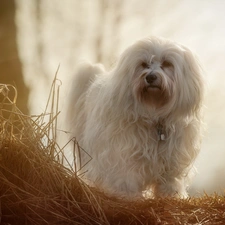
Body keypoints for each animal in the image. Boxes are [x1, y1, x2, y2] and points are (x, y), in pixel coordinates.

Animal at [66, 36, 204, 199]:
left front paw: (171, 195)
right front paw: (128, 196)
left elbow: (170, 179)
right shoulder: (124, 152)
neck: (154, 112)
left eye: (167, 64)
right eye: (143, 64)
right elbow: (127, 175)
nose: (150, 77)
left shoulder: (172, 157)